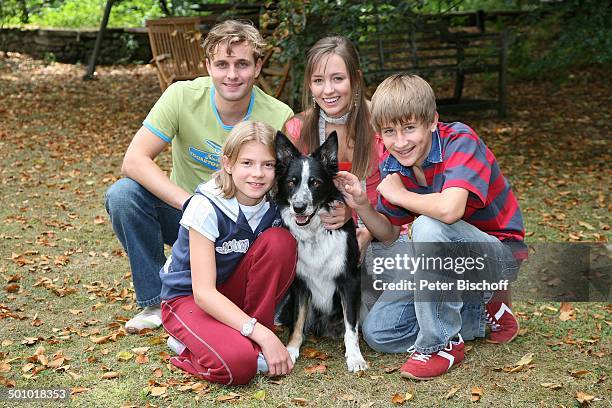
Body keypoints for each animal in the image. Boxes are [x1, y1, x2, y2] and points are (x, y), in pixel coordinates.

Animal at [276, 131, 368, 372]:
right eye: (291, 182)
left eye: (315, 183)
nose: (299, 207)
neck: (315, 234)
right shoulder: (299, 285)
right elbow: (298, 323)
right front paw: (291, 350)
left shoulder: (349, 280)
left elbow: (351, 326)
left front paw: (355, 357)